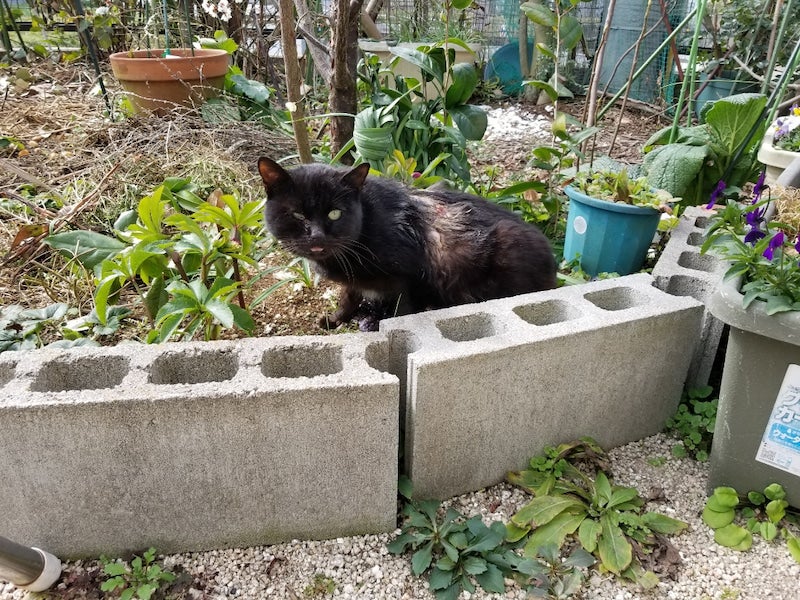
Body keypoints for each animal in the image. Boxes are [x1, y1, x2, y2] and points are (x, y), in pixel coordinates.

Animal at [257, 157, 557, 330]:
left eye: (334, 213)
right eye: (297, 214)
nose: (317, 236)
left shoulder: (408, 279)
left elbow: (402, 311)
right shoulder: (353, 279)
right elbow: (349, 295)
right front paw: (335, 319)